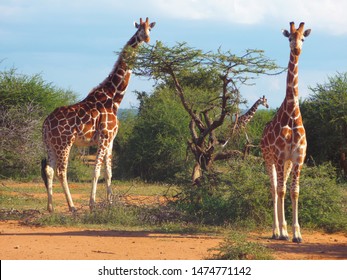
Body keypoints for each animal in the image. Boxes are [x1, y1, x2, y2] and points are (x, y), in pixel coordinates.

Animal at [40, 17, 156, 212]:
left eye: (150, 29)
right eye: (140, 29)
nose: (146, 38)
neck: (114, 98)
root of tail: (46, 124)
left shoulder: (111, 140)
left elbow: (109, 172)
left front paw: (110, 203)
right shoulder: (104, 137)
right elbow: (96, 170)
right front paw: (92, 203)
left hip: (50, 143)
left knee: (49, 169)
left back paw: (50, 207)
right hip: (64, 143)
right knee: (61, 171)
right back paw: (72, 206)